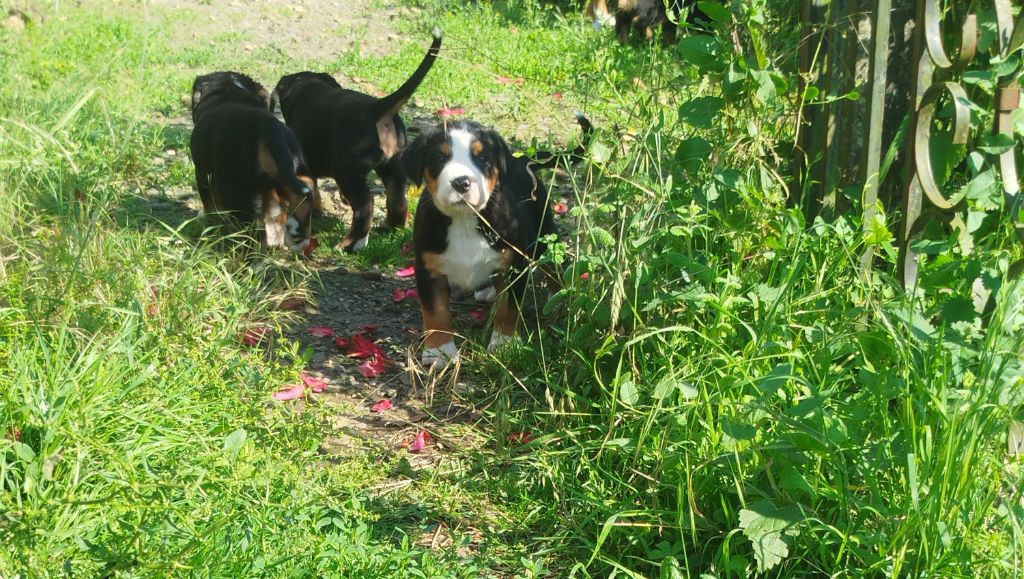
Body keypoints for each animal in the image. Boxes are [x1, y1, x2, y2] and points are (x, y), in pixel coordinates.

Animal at [190, 70, 317, 251]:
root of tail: (268, 128)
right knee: (305, 194)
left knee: (253, 236)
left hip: (239, 196)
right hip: (295, 173)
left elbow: (211, 206)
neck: (227, 92)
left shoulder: (202, 174)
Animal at [272, 29, 444, 251]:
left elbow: (313, 190)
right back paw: (389, 226)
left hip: (347, 170)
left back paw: (350, 243)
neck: (307, 89)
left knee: (365, 204)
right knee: (397, 200)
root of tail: (378, 108)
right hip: (394, 165)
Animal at [399, 114, 593, 362]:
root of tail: (522, 159)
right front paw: (439, 352)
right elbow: (436, 313)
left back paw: (559, 296)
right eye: (440, 157)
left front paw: (504, 343)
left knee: (554, 265)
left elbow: (508, 308)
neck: (464, 220)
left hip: (543, 236)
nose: (461, 182)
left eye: (482, 158)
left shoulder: (513, 265)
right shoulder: (429, 269)